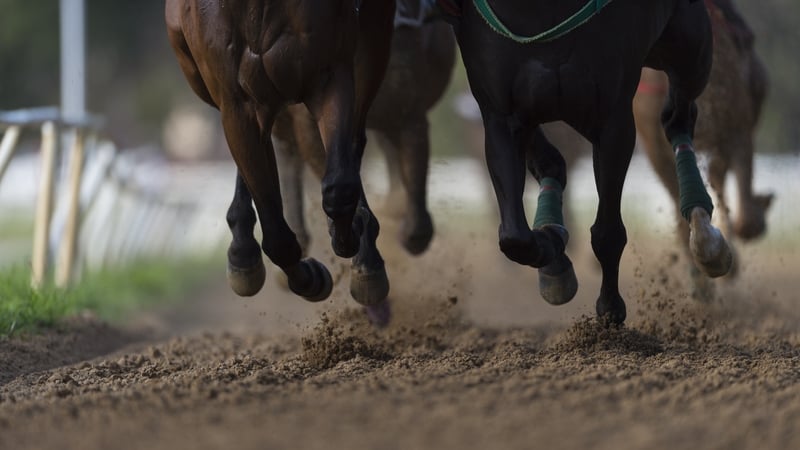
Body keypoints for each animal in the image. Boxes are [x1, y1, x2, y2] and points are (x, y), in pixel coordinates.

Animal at [165, 0, 397, 321]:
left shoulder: (329, 74)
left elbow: (340, 185)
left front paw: (351, 236)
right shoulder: (237, 103)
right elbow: (276, 236)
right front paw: (311, 277)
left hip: (373, 39)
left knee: (352, 142)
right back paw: (243, 251)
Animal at [441, 0, 733, 324]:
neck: (537, 10)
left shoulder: (612, 120)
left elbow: (607, 232)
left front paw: (610, 308)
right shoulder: (500, 113)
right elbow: (515, 236)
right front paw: (553, 250)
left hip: (689, 48)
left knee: (678, 117)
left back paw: (707, 239)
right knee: (550, 163)